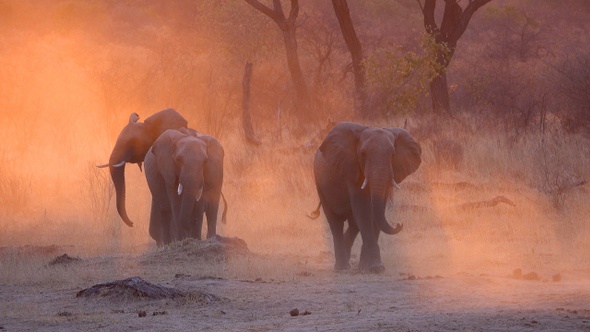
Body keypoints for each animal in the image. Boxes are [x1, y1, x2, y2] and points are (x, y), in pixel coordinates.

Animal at [312, 122, 424, 272]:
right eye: (363, 154)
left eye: (393, 154)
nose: (399, 224)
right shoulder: (351, 169)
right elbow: (364, 210)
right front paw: (374, 268)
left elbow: (376, 211)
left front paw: (371, 267)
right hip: (320, 184)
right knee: (335, 222)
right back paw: (342, 268)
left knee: (354, 222)